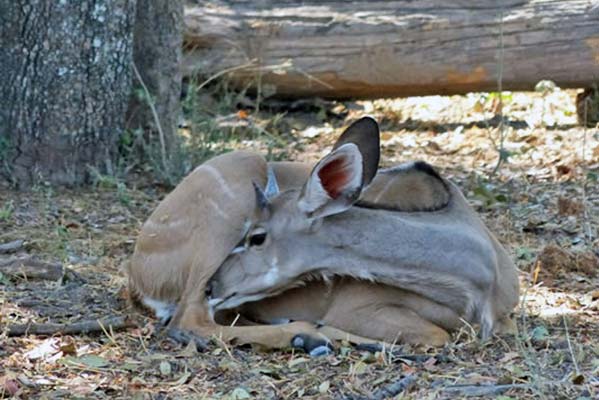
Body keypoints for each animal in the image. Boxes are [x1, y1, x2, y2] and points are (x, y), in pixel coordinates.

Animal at [127, 117, 520, 354]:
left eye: (258, 237)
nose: (214, 286)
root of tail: (139, 273)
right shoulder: (356, 307)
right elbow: (436, 335)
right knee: (187, 321)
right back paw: (307, 336)